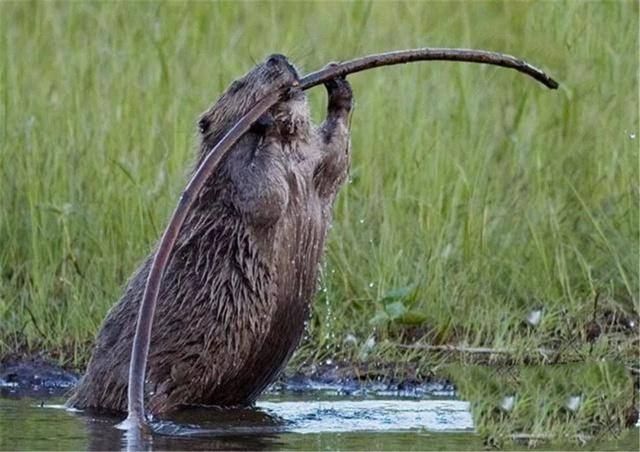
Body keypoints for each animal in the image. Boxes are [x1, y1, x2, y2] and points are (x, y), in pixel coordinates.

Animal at [67, 54, 352, 414]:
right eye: (236, 85)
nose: (278, 58)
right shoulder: (232, 173)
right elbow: (264, 194)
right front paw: (266, 120)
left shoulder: (313, 162)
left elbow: (336, 156)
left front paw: (338, 81)